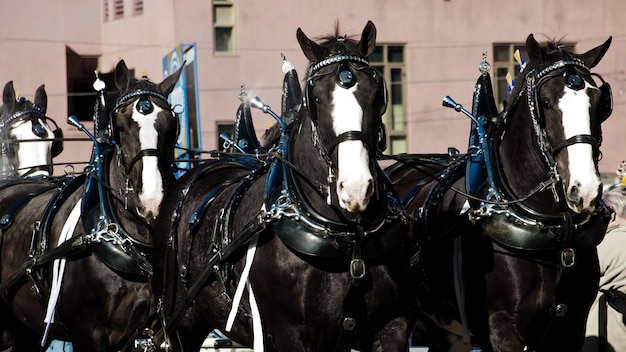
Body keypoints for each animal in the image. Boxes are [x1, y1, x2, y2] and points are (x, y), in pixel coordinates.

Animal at [153, 20, 412, 350]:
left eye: (376, 93)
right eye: (316, 99)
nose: (355, 188)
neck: (348, 238)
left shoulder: (393, 324)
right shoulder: (291, 335)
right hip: (180, 323)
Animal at [388, 33, 612, 352]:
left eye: (599, 103)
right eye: (545, 102)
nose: (585, 188)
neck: (552, 230)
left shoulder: (571, 327)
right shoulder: (500, 327)